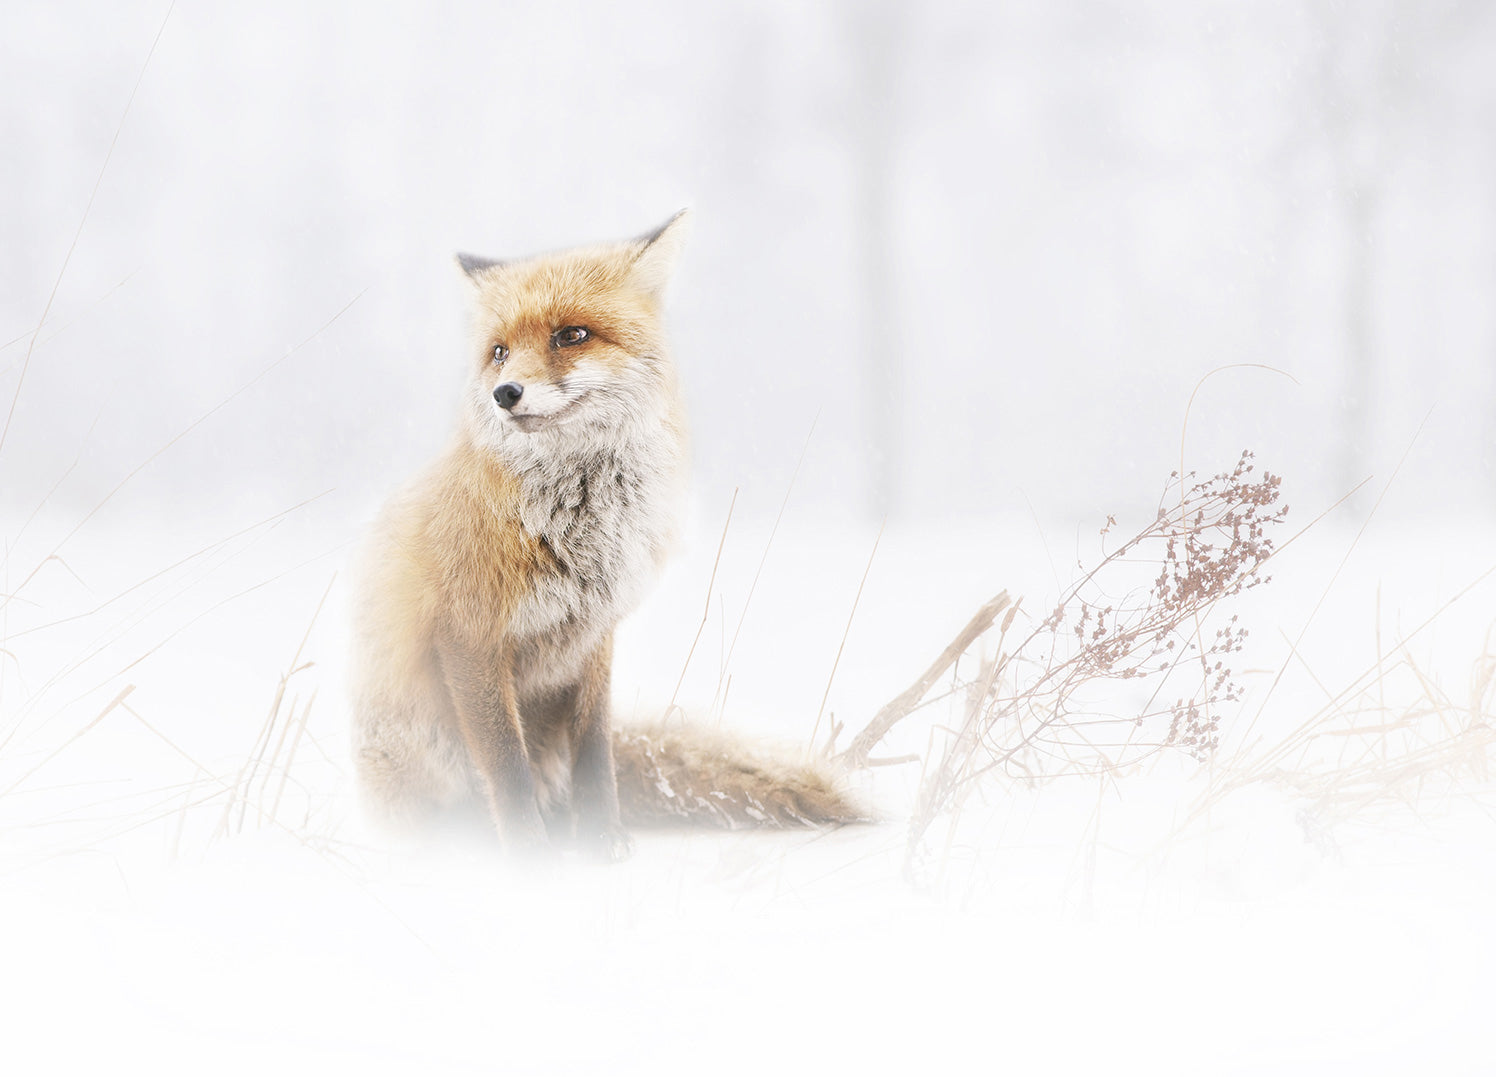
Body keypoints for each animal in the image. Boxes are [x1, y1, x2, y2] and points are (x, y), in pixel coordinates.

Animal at [351, 212, 861, 859]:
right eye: (499, 352)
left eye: (571, 335)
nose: (504, 394)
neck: (579, 532)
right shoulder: (468, 635)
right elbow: (507, 765)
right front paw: (530, 858)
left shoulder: (595, 634)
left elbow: (594, 748)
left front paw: (601, 838)